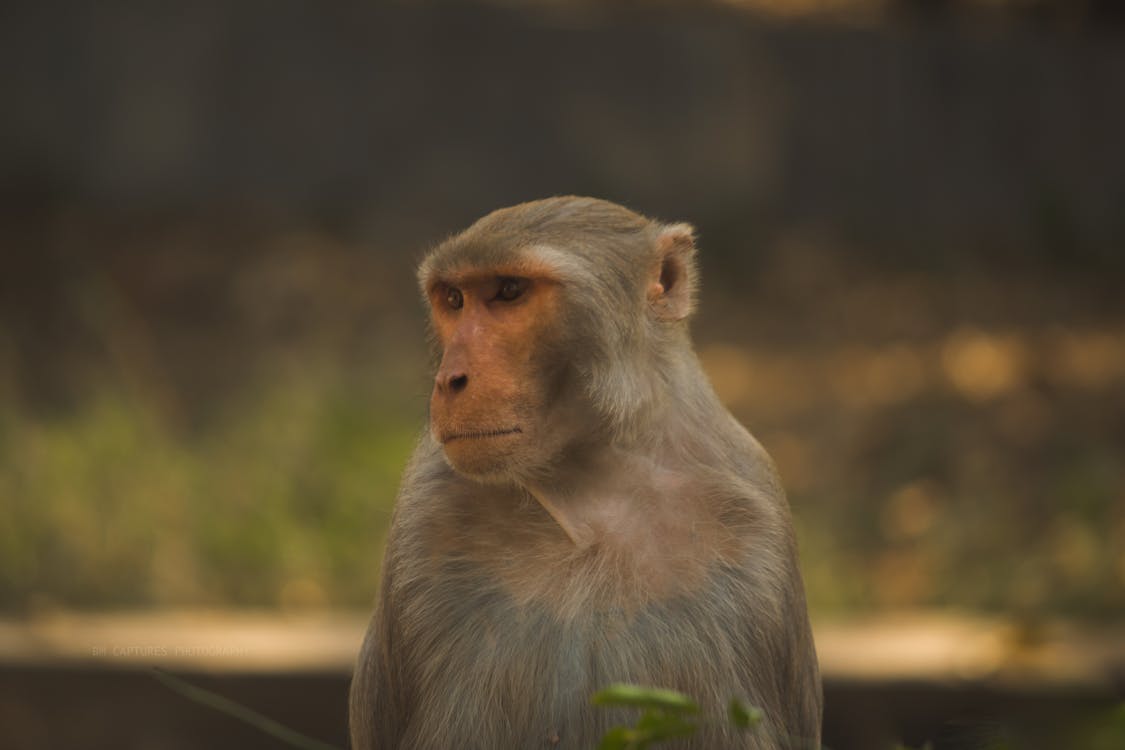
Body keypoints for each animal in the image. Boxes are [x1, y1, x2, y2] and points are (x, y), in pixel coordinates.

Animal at [353, 196, 828, 746]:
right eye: (453, 299)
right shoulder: (425, 514)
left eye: (509, 291)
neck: (594, 484)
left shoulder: (753, 532)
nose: (449, 379)